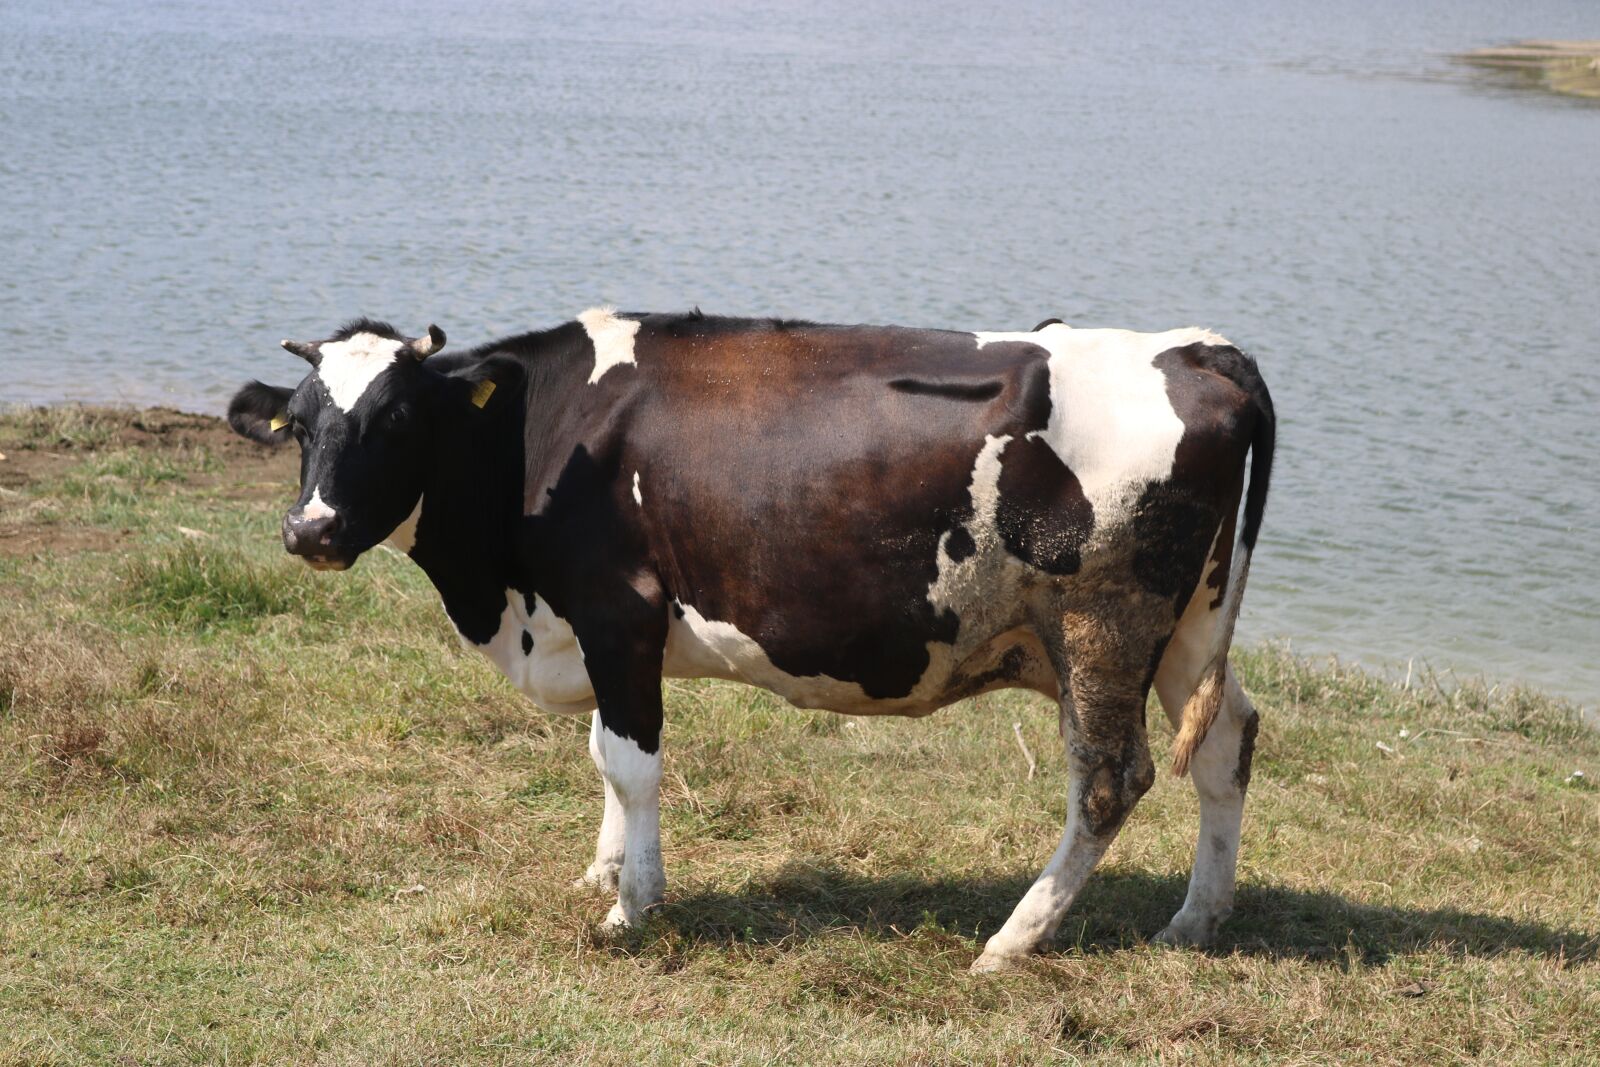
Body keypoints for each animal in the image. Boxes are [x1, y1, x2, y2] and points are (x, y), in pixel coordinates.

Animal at [226, 308, 1274, 971]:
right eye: (301, 422)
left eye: (398, 417)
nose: (310, 529)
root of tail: (1198, 348)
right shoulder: (605, 635)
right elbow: (604, 754)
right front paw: (604, 867)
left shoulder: (618, 610)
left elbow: (631, 760)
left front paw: (631, 907)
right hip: (1189, 629)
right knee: (1226, 742)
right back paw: (1195, 920)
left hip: (1103, 623)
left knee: (1109, 779)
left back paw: (1014, 939)